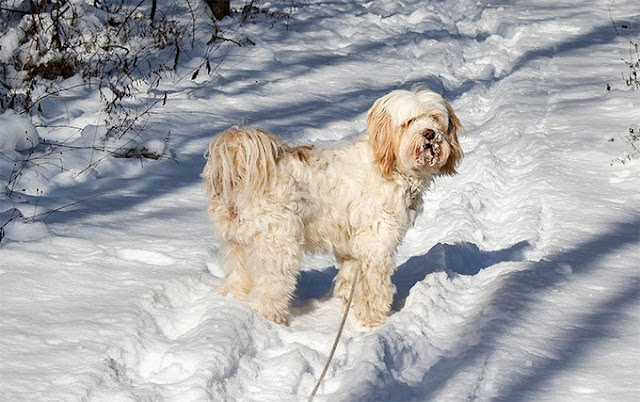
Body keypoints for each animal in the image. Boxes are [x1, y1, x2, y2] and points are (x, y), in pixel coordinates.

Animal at [202, 88, 462, 326]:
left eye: (434, 118)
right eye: (409, 122)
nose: (429, 134)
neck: (389, 164)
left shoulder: (352, 247)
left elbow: (350, 277)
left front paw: (348, 304)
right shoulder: (376, 243)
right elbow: (373, 286)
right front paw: (372, 319)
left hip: (236, 245)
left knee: (237, 278)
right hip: (277, 247)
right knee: (268, 292)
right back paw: (271, 321)